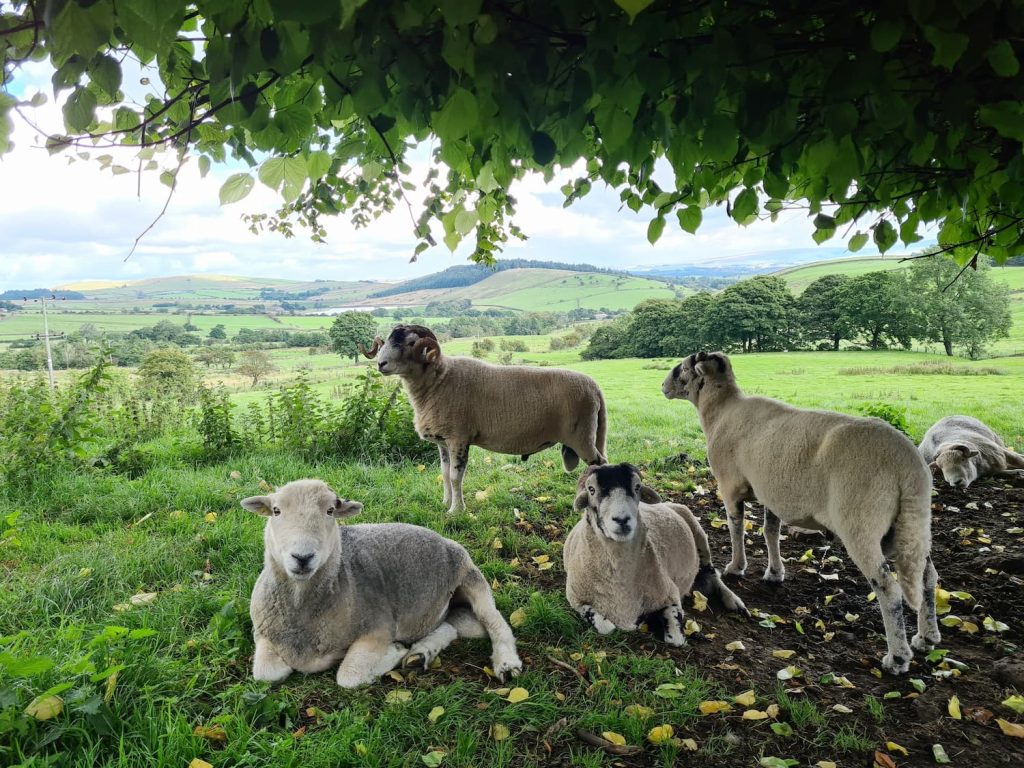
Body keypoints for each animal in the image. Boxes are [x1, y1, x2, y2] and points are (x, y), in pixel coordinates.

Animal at [243, 481, 524, 692]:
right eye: (276, 511)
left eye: (330, 511)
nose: (302, 557)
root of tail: (442, 537)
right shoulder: (262, 634)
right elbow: (266, 674)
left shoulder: (378, 627)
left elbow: (350, 675)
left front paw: (395, 652)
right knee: (453, 625)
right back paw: (421, 654)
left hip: (471, 576)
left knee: (496, 623)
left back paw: (507, 664)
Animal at [360, 321, 602, 514]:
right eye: (387, 341)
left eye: (411, 343)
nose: (380, 364)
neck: (440, 380)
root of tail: (594, 386)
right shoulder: (442, 442)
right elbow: (444, 474)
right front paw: (445, 502)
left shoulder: (458, 438)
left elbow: (456, 477)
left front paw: (456, 511)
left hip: (582, 436)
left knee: (598, 465)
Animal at [565, 460, 749, 647]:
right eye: (591, 489)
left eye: (637, 487)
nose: (622, 520)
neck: (620, 589)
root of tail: (666, 503)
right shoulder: (575, 599)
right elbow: (606, 627)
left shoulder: (670, 594)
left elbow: (676, 639)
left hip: (700, 536)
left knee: (712, 574)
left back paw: (735, 602)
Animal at [663, 352, 942, 675]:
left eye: (680, 369)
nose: (663, 387)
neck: (720, 410)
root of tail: (909, 468)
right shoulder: (770, 492)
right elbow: (770, 532)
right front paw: (774, 573)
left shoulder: (730, 486)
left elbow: (736, 527)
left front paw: (735, 567)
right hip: (909, 523)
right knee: (927, 576)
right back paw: (927, 637)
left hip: (862, 524)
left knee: (889, 589)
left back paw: (897, 658)